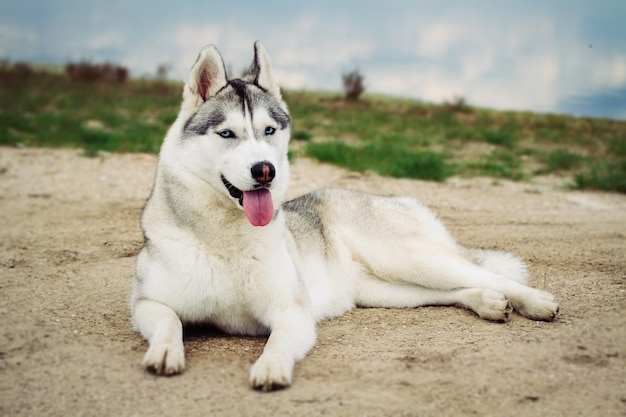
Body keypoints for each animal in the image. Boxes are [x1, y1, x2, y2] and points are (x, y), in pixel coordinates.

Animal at [130, 42, 556, 390]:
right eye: (226, 134)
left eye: (268, 130)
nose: (265, 170)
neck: (223, 239)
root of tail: (392, 196)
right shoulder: (147, 303)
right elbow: (170, 322)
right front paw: (165, 352)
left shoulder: (292, 311)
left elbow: (276, 342)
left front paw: (271, 368)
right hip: (386, 290)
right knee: (452, 290)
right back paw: (487, 302)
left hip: (409, 258)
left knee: (486, 273)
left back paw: (535, 301)